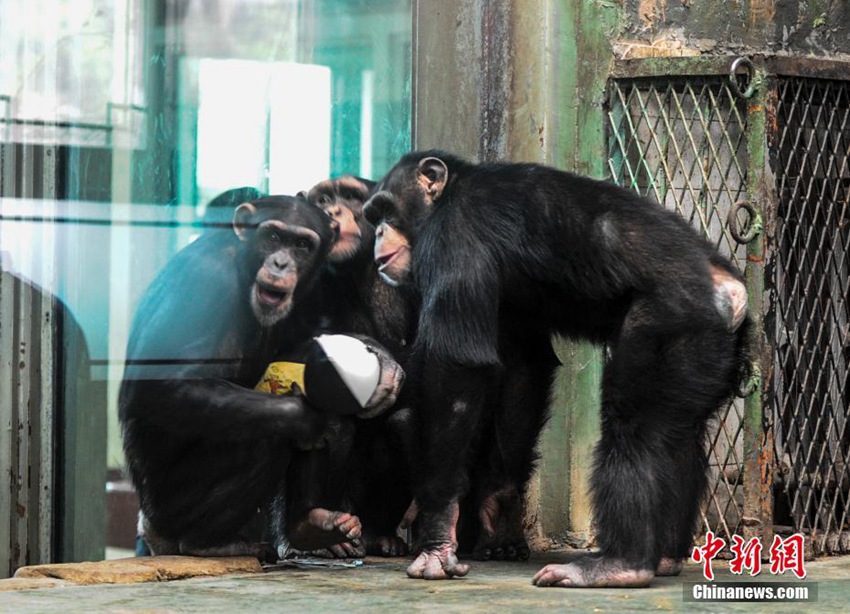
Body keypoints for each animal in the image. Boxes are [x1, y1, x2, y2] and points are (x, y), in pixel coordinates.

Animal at [118, 195, 404, 560]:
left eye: (301, 245)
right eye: (272, 237)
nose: (281, 262)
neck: (244, 265)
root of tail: (149, 527)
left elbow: (306, 346)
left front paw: (380, 358)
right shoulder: (205, 280)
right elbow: (161, 387)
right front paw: (307, 417)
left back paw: (310, 525)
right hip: (170, 508)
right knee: (267, 436)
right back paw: (208, 542)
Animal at [298, 174, 420, 560]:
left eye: (350, 196)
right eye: (322, 199)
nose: (332, 211)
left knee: (405, 423)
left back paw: (383, 534)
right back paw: (328, 533)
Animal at [362, 152, 744, 588]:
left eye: (386, 210)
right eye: (372, 216)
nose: (377, 233)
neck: (446, 197)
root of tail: (731, 292)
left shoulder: (454, 237)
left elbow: (459, 370)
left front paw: (438, 534)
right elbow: (523, 367)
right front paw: (500, 508)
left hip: (673, 320)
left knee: (636, 429)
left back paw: (620, 563)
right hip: (709, 351)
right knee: (677, 433)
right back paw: (663, 556)